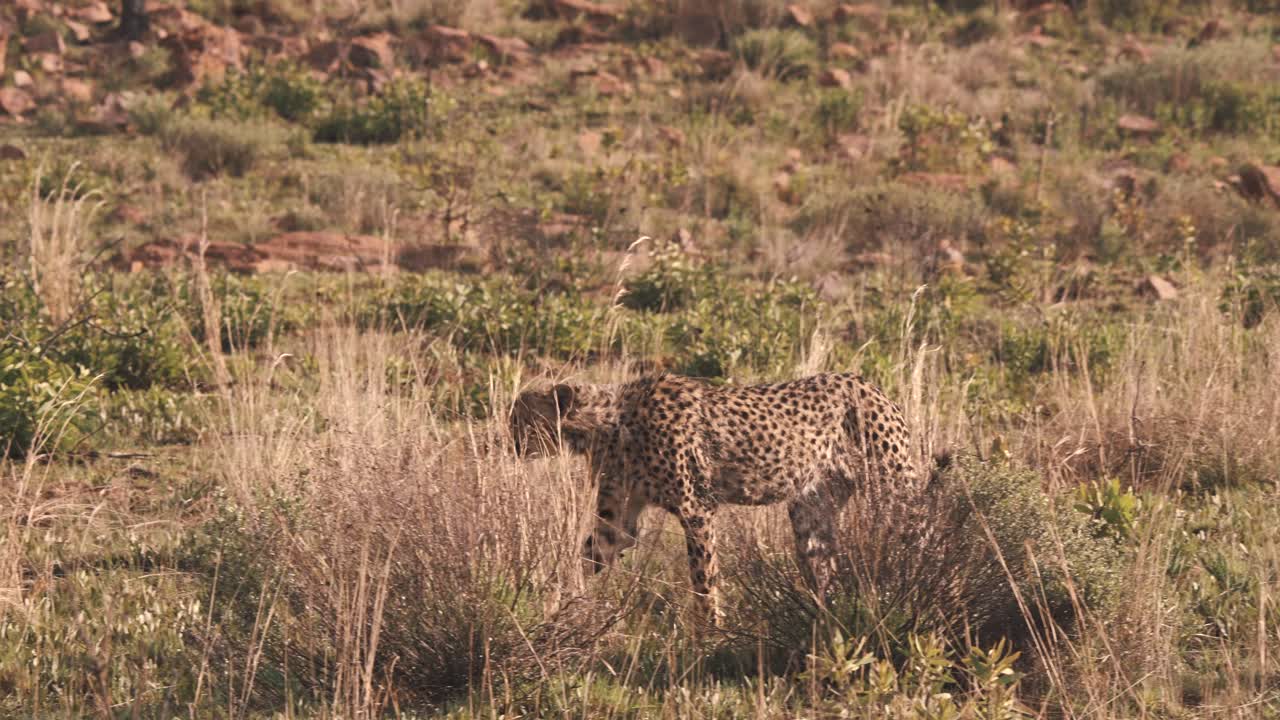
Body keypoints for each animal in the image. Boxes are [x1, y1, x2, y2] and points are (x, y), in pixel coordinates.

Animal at [509, 372, 923, 624]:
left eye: (520, 418)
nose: (508, 442)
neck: (608, 424)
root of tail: (864, 380)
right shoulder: (619, 518)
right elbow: (586, 554)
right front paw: (556, 606)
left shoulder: (697, 508)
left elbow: (703, 576)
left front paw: (711, 630)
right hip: (811, 505)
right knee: (821, 560)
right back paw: (827, 614)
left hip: (892, 484)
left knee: (917, 526)